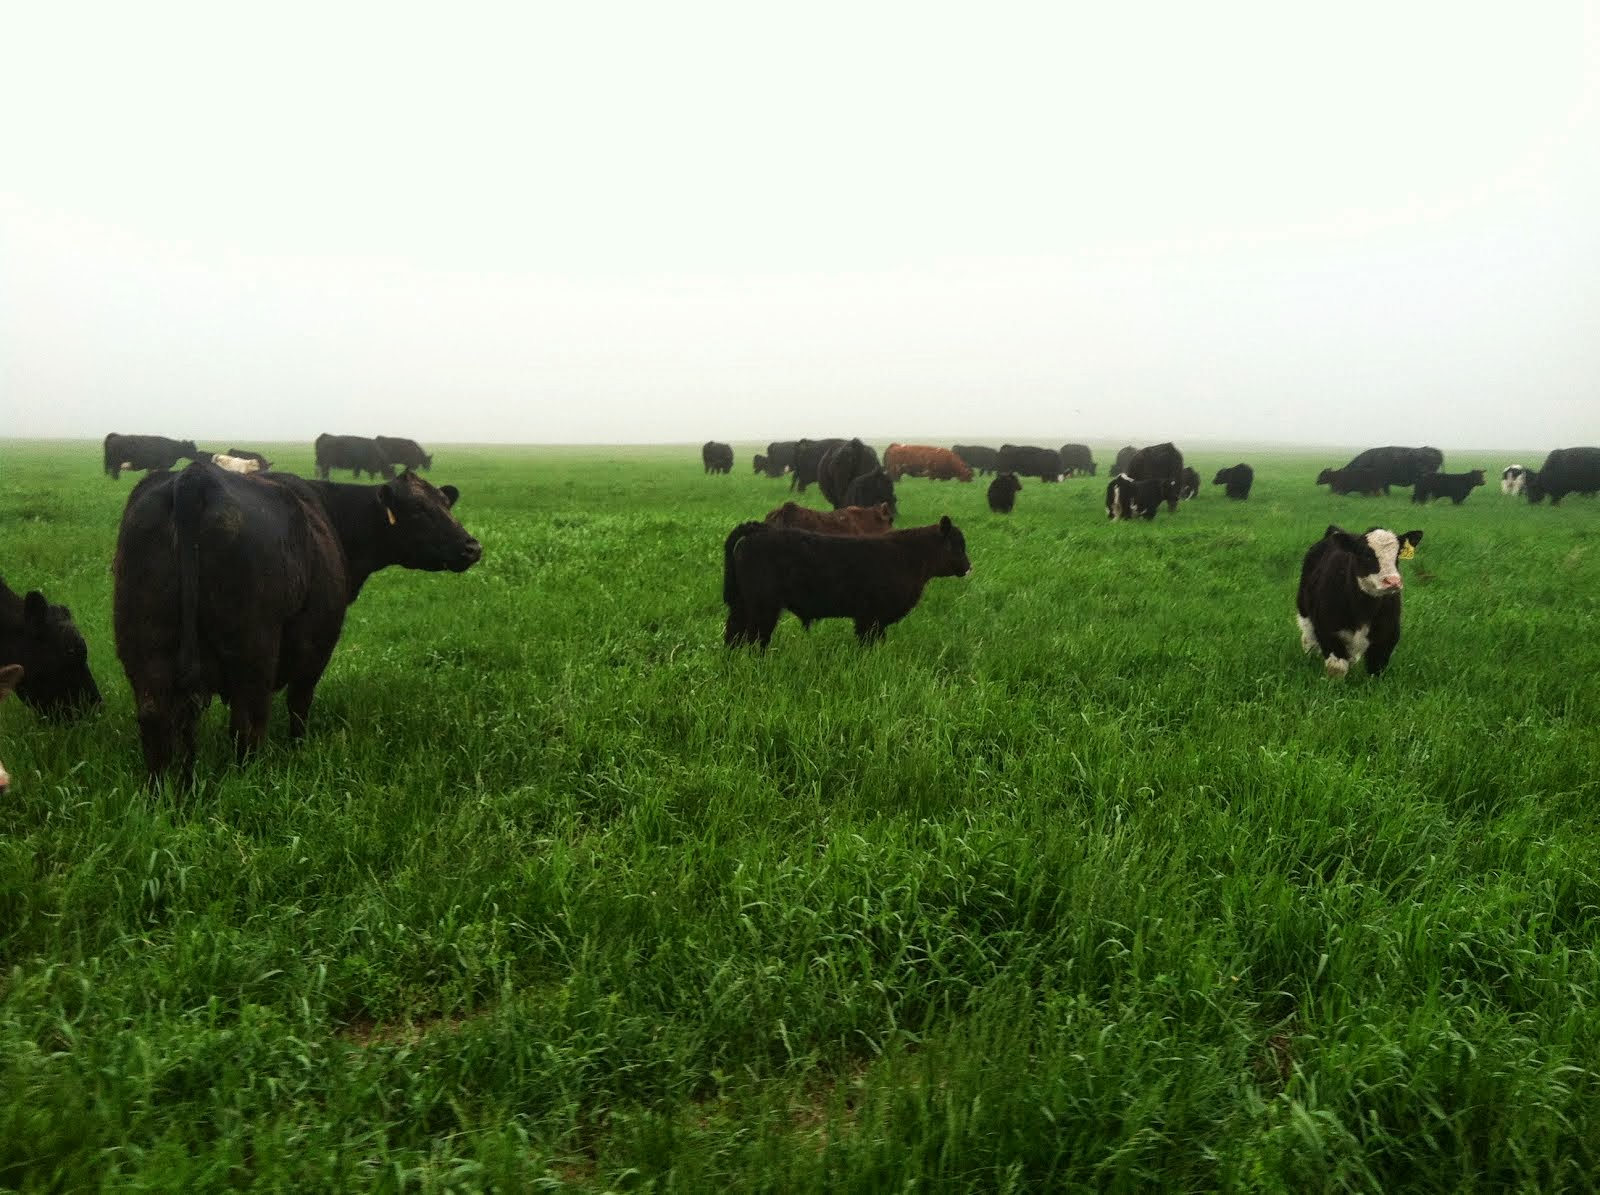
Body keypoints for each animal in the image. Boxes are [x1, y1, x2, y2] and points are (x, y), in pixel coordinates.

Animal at [113, 463, 482, 782]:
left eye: (445, 503)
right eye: (418, 509)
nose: (472, 546)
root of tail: (196, 476)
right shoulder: (317, 642)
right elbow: (300, 701)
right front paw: (299, 750)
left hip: (144, 641)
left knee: (156, 716)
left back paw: (161, 791)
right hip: (255, 648)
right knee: (248, 721)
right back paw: (250, 780)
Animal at [722, 516, 970, 649]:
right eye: (957, 545)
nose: (969, 567)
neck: (908, 555)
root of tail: (757, 530)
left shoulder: (869, 619)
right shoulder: (871, 618)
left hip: (742, 606)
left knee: (734, 634)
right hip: (762, 608)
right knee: (755, 638)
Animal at [1296, 525, 1423, 678]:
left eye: (1397, 554)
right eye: (1366, 554)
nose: (1392, 581)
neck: (1364, 609)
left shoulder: (1387, 636)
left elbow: (1376, 668)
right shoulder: (1328, 631)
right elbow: (1337, 668)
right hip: (1304, 610)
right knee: (1308, 639)